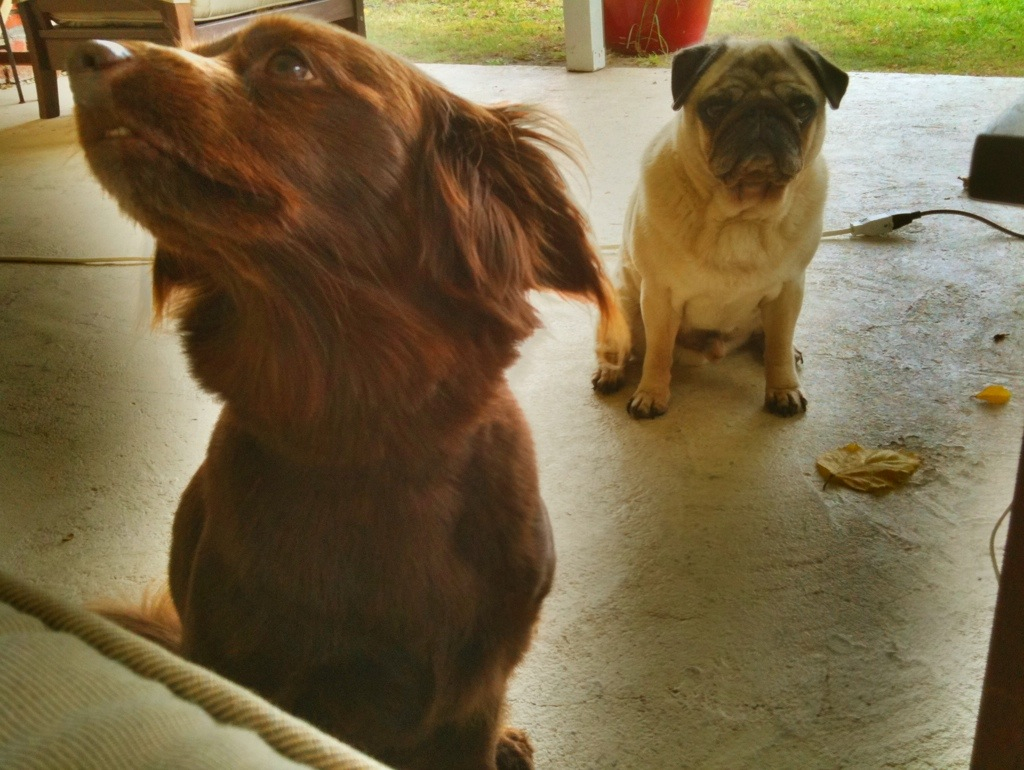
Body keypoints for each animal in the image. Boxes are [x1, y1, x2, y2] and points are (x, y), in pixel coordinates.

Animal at [593, 38, 847, 417]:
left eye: (801, 106)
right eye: (716, 107)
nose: (760, 112)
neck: (741, 214)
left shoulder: (789, 290)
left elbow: (779, 347)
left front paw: (783, 387)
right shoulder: (658, 295)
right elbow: (657, 352)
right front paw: (651, 393)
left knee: (774, 340)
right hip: (623, 299)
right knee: (621, 347)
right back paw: (610, 371)